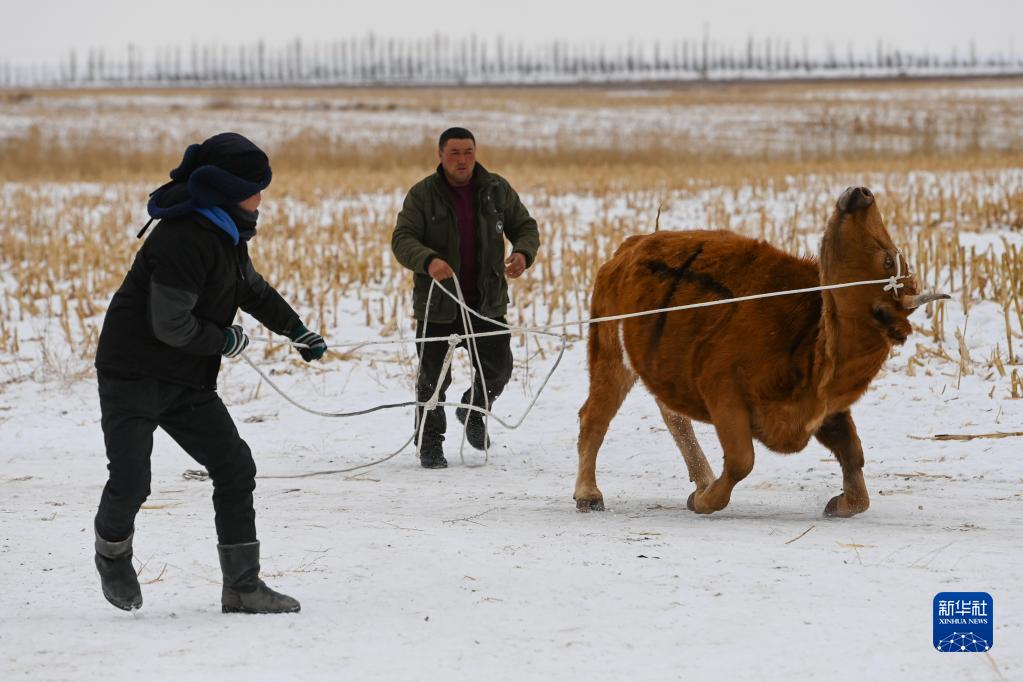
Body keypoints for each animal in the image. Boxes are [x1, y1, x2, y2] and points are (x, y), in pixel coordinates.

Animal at [581, 187, 945, 517]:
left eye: (888, 258)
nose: (862, 193)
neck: (813, 341)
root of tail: (630, 245)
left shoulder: (824, 412)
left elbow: (853, 455)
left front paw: (841, 504)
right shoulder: (725, 395)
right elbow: (742, 460)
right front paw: (705, 501)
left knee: (672, 415)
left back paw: (701, 479)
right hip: (610, 355)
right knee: (595, 417)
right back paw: (589, 495)